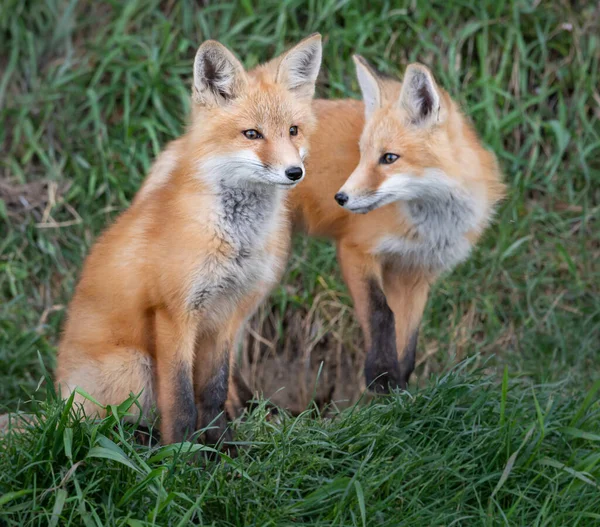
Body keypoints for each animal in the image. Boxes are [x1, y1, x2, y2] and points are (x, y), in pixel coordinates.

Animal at [56, 34, 324, 446]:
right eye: (252, 134)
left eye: (293, 130)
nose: (294, 172)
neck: (234, 241)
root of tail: (56, 397)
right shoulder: (175, 313)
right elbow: (180, 399)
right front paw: (182, 454)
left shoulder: (226, 314)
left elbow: (213, 391)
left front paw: (223, 449)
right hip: (133, 365)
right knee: (100, 427)